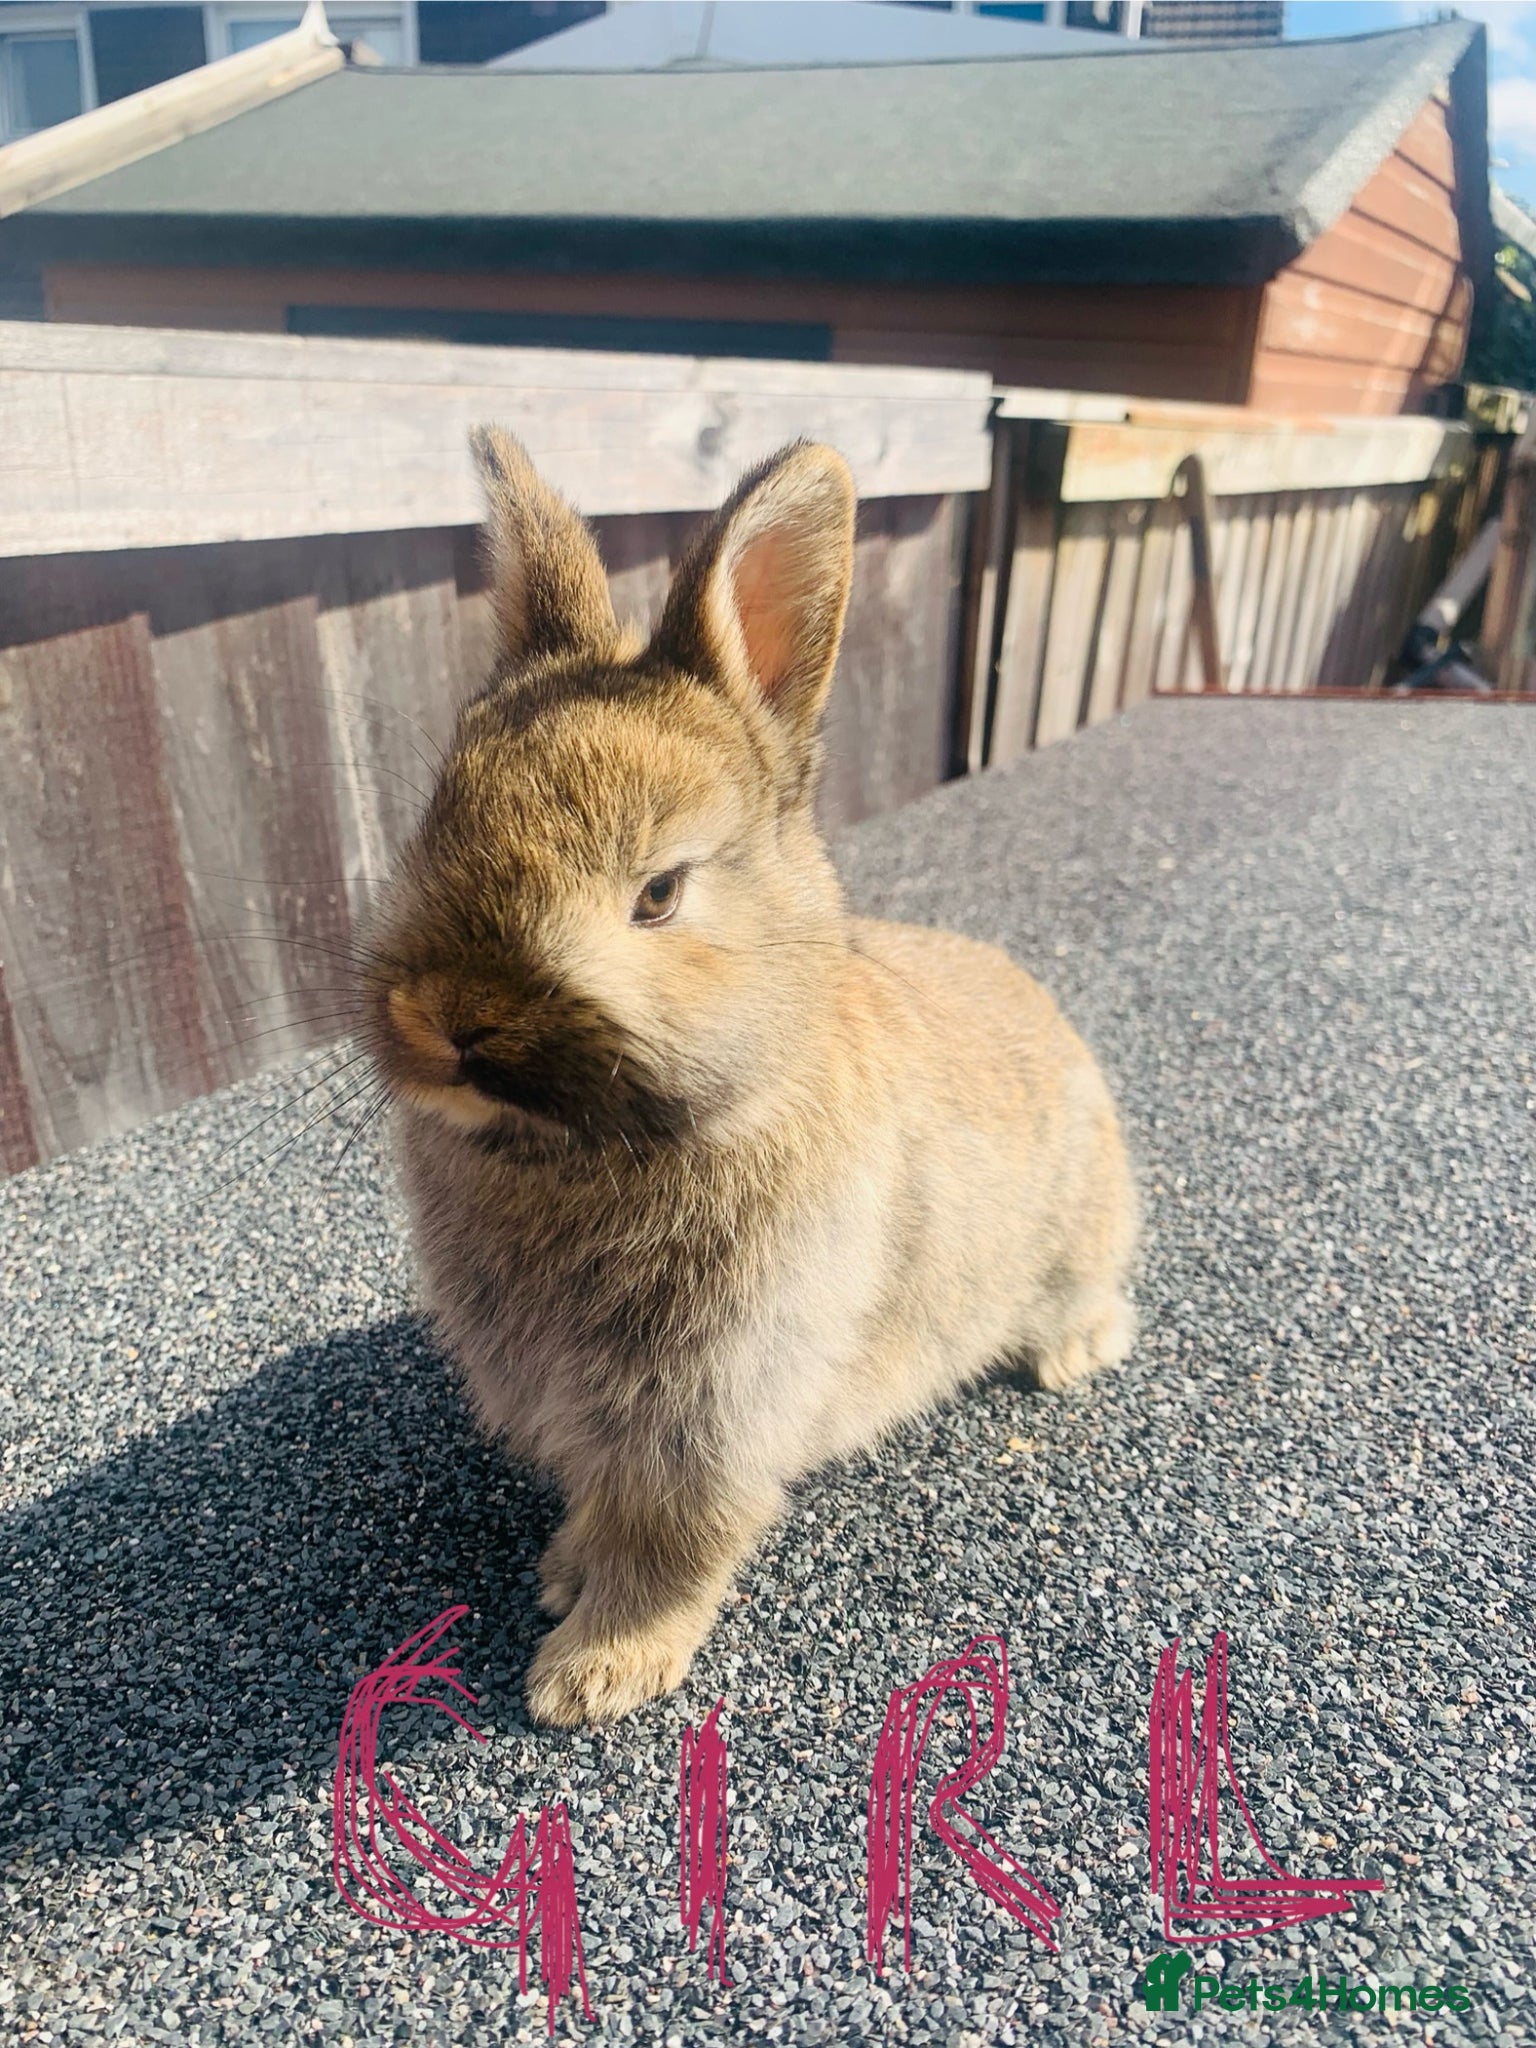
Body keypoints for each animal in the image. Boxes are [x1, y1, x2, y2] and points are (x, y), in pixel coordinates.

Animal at [354, 427, 1139, 1728]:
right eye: (436, 820)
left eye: (659, 893)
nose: (451, 1019)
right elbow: (603, 1508)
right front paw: (565, 1572)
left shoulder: (710, 1413)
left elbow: (675, 1541)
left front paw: (595, 1671)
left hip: (1077, 1241)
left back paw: (1073, 1353)